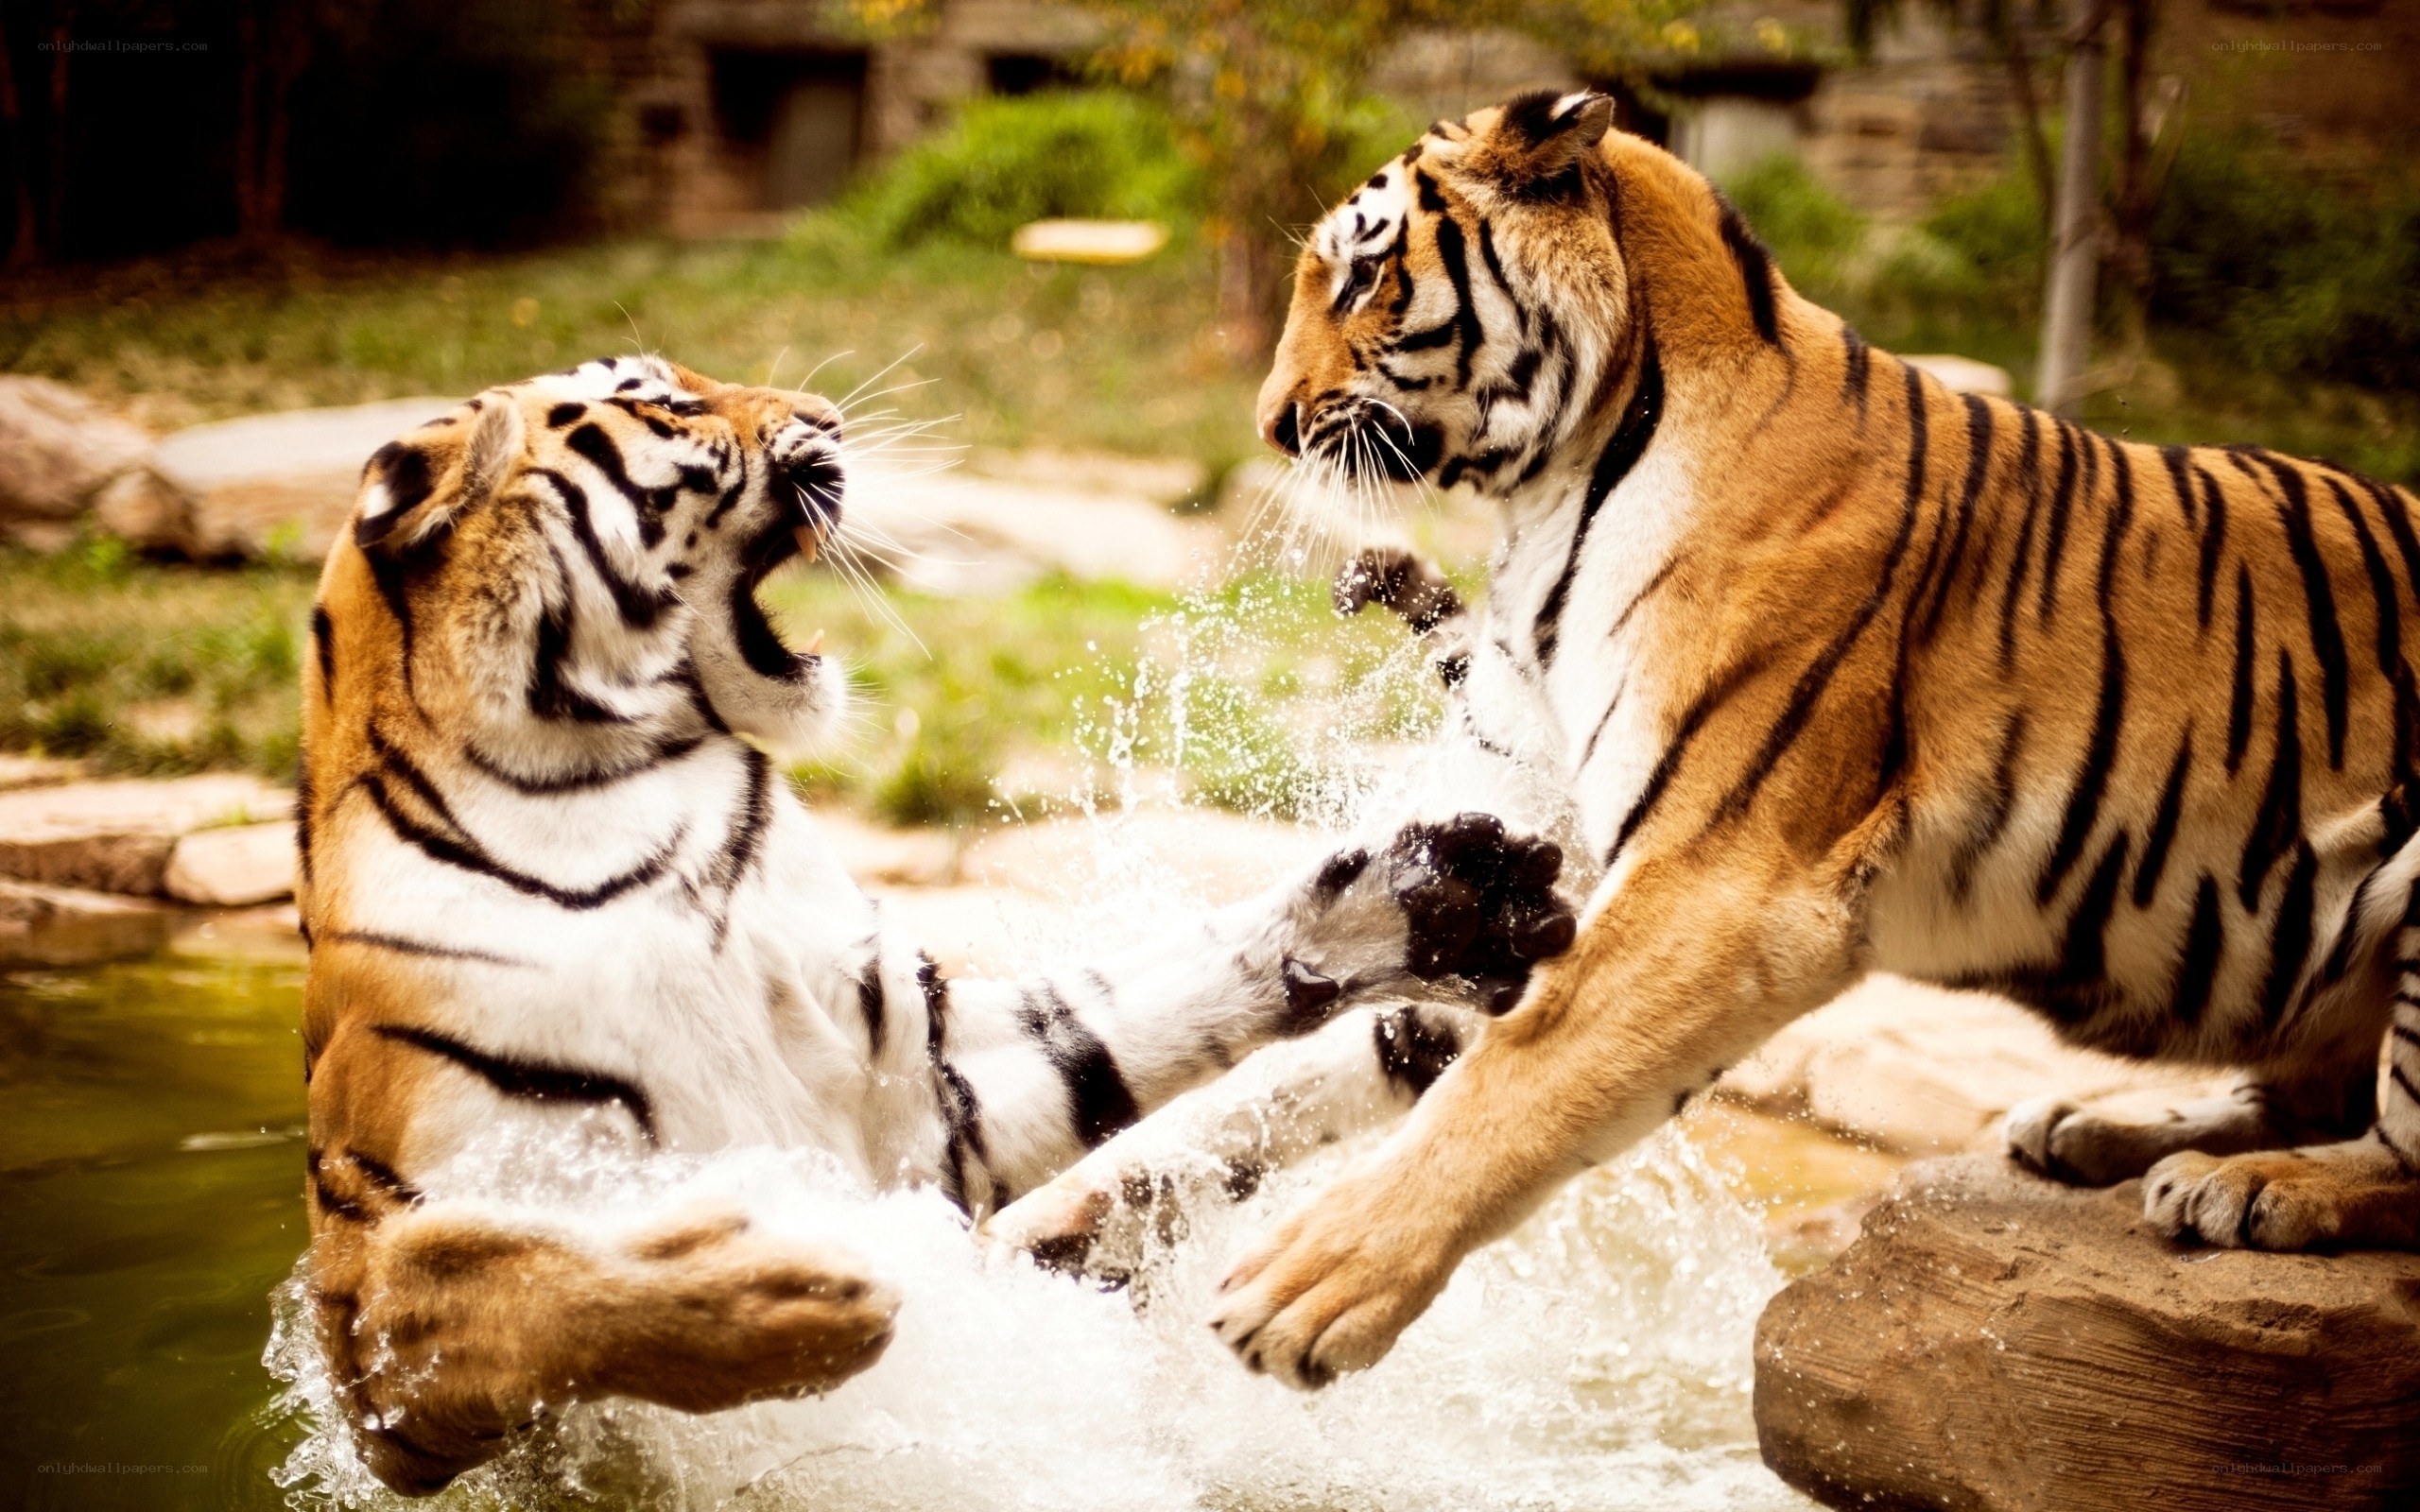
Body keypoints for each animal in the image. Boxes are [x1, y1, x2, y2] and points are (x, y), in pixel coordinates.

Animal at [294, 353, 1578, 1492]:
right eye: (663, 399)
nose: (826, 416)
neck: (626, 801)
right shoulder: (374, 1312)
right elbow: (514, 1277)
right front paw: (794, 1294)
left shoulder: (918, 1084)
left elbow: (1141, 1007)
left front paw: (1434, 899)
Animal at [995, 89, 2420, 1393]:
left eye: (1361, 274)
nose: (1271, 424)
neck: (1555, 485)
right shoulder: (1540, 871)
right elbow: (1339, 1068)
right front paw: (1058, 1221)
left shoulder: (1724, 881)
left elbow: (1519, 1084)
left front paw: (1306, 1291)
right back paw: (2095, 1129)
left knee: (2394, 1146)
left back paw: (2256, 1187)